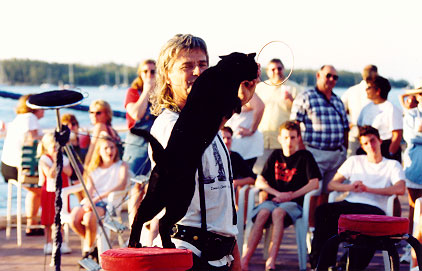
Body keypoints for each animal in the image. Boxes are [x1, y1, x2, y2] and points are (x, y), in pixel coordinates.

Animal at [128, 52, 258, 250]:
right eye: (251, 63)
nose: (258, 69)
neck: (224, 71)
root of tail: (164, 158)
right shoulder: (228, 102)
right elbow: (235, 102)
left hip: (156, 196)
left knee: (141, 215)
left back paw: (135, 243)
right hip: (180, 199)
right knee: (163, 222)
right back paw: (167, 245)